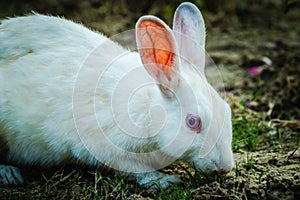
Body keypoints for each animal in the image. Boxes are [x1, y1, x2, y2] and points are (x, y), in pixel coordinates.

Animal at [0, 2, 234, 188]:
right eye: (192, 122)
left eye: (227, 111)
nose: (225, 167)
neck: (148, 110)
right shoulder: (107, 148)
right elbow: (136, 169)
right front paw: (164, 181)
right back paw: (9, 174)